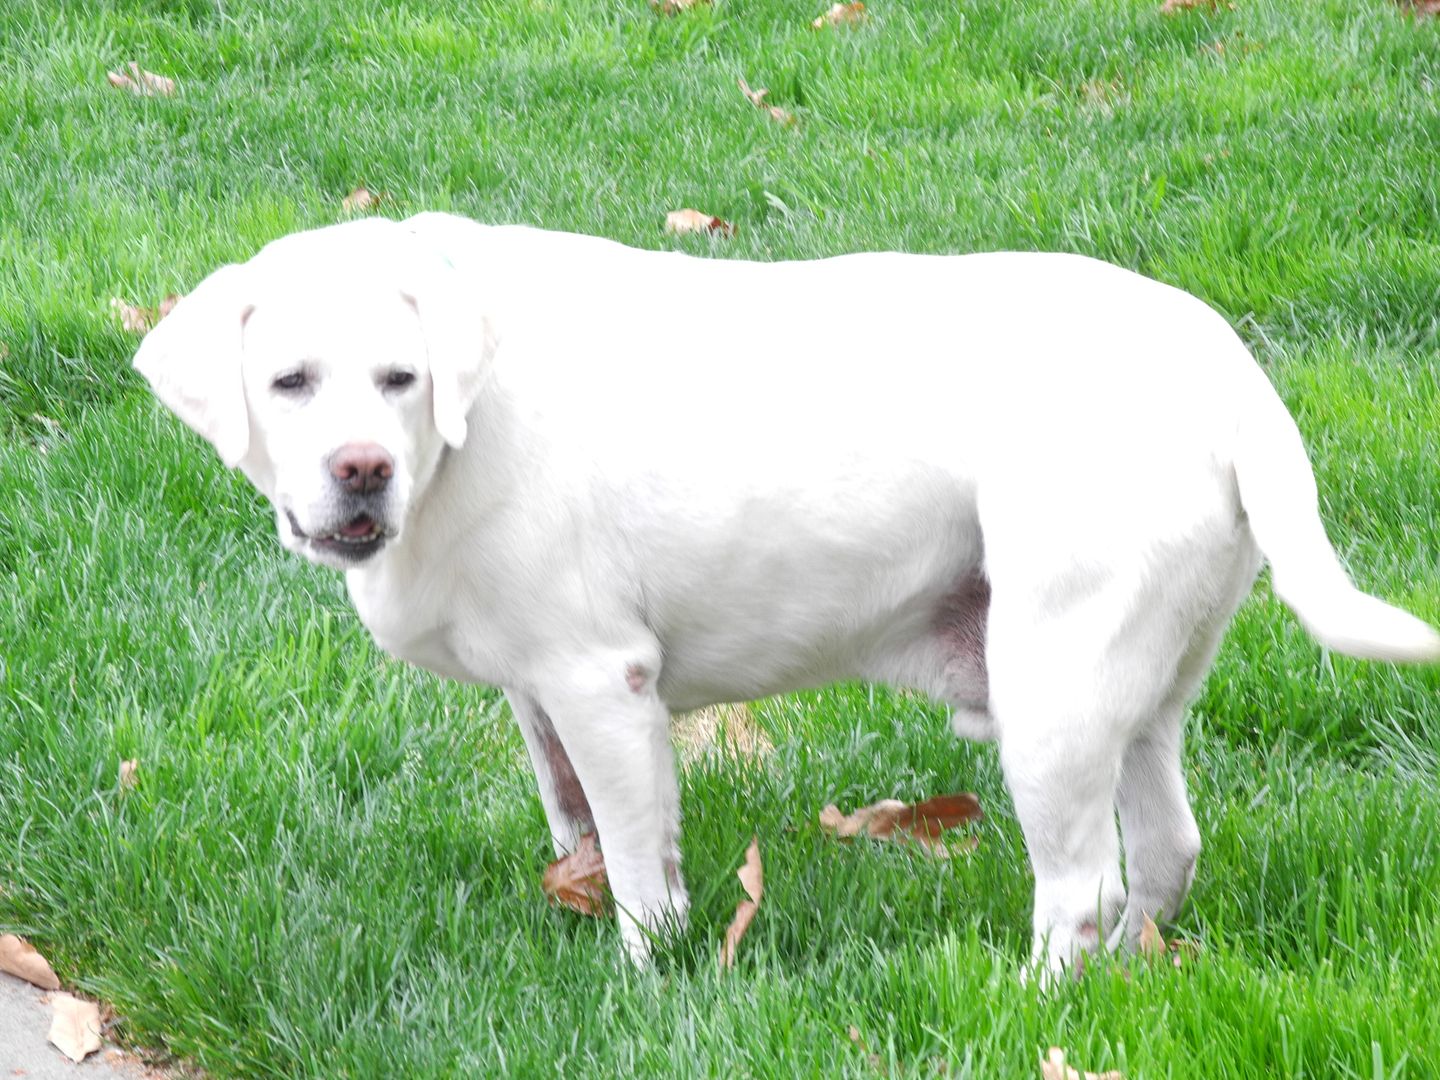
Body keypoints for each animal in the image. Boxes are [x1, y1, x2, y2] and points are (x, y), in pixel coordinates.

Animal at [135, 216, 1440, 979]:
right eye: (290, 382)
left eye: (400, 379)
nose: (362, 470)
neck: (463, 428)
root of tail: (1227, 366)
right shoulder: (537, 695)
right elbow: (575, 829)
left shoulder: (601, 684)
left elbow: (642, 875)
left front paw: (639, 982)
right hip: (1142, 686)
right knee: (1165, 850)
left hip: (1050, 689)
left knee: (1083, 886)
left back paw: (1036, 1003)